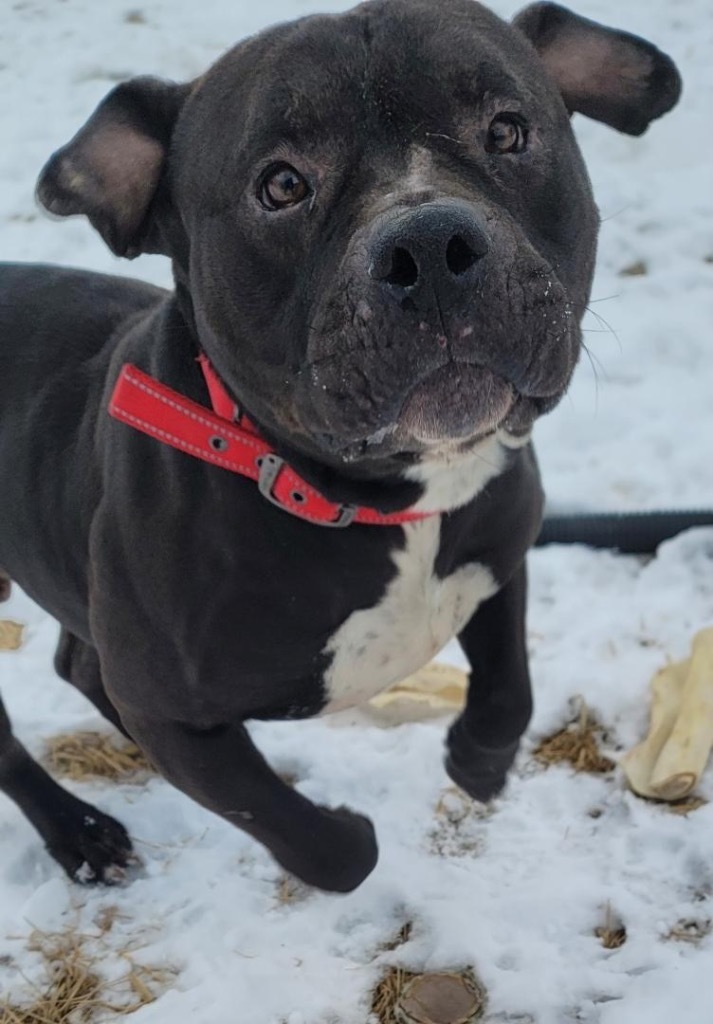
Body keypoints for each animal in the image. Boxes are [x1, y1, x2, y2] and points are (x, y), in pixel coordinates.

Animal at [0, 0, 680, 892]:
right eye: (281, 184)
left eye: (506, 131)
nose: (429, 245)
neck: (381, 498)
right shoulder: (170, 713)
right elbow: (320, 844)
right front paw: (347, 830)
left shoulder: (500, 548)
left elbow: (509, 690)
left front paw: (477, 764)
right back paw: (76, 832)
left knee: (75, 663)